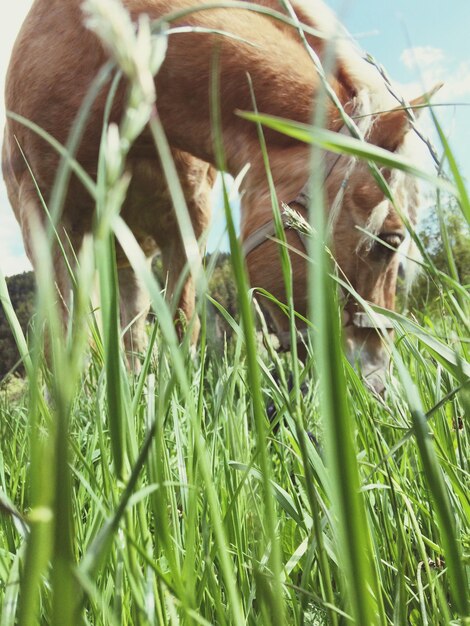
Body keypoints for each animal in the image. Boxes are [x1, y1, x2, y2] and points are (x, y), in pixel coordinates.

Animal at [0, 0, 426, 388]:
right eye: (389, 241)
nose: (380, 380)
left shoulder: (188, 220)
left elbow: (180, 325)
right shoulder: (43, 213)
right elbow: (60, 339)